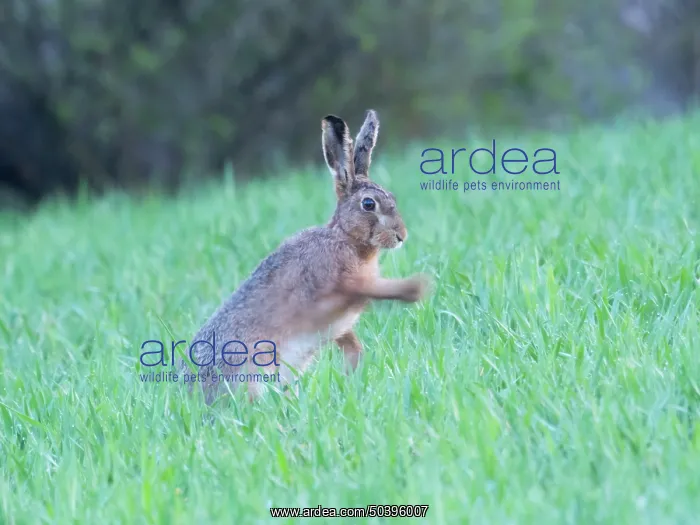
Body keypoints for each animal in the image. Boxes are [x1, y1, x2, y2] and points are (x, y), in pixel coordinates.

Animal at [180, 109, 430, 404]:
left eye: (392, 197)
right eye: (369, 204)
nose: (401, 235)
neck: (345, 238)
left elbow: (351, 341)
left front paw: (353, 371)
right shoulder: (336, 288)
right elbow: (373, 291)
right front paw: (414, 289)